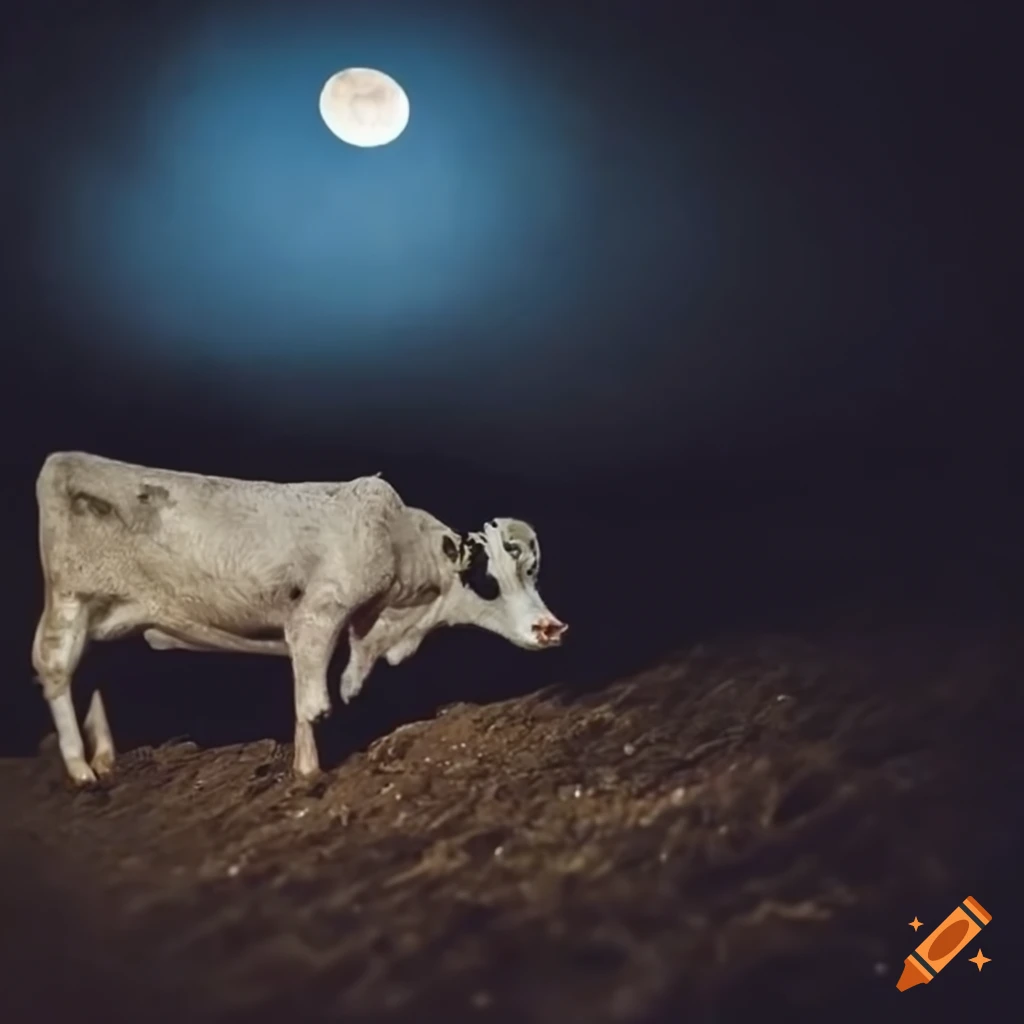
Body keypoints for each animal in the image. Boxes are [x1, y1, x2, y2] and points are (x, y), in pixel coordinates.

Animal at [32, 451, 568, 785]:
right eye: (486, 579)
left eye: (532, 572)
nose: (550, 627)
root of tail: (64, 461)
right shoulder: (317, 614)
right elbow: (314, 705)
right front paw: (308, 773)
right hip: (71, 600)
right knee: (55, 669)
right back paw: (81, 770)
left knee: (96, 672)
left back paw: (105, 759)